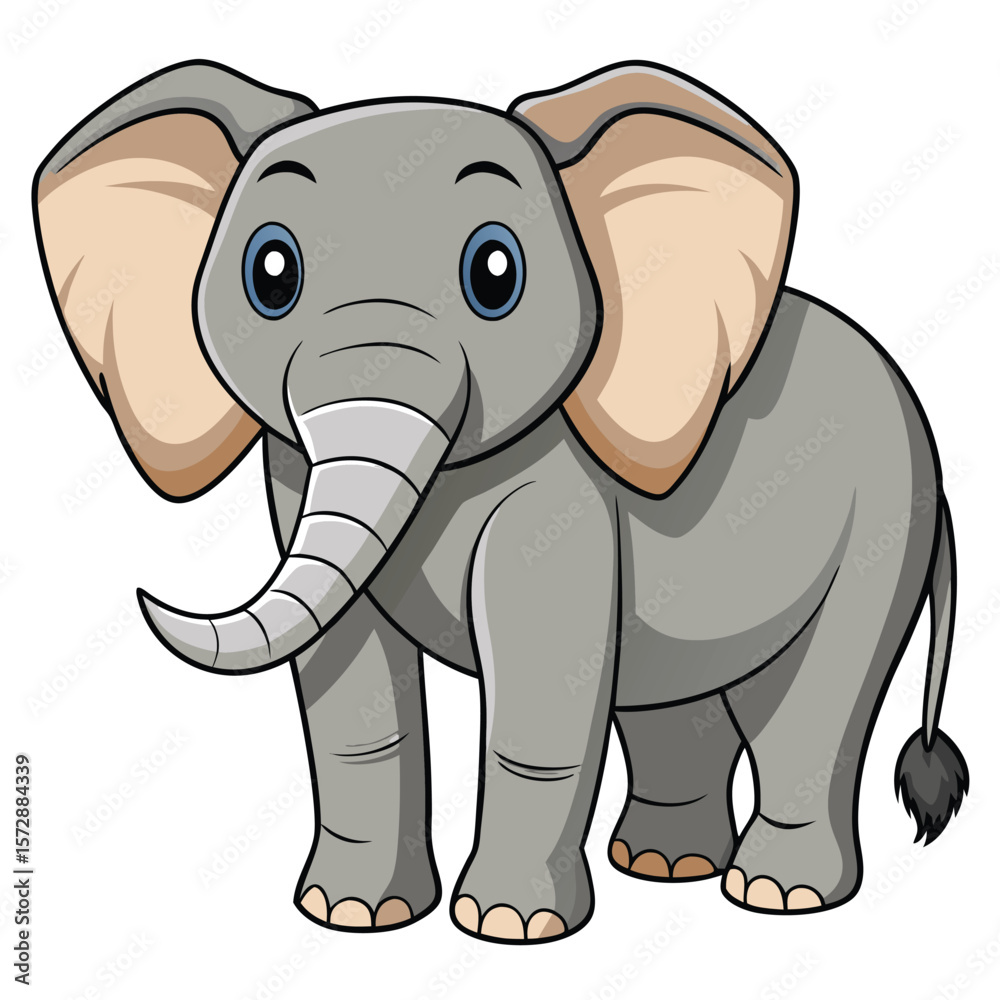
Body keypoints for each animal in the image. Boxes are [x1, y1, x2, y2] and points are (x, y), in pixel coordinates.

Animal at [34, 59, 969, 943]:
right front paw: (350, 915)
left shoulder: (562, 489)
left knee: (808, 704)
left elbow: (542, 682)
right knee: (675, 703)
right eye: (271, 272)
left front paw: (510, 928)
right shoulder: (293, 472)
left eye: (495, 273)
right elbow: (351, 686)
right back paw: (664, 866)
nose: (145, 596)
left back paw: (776, 894)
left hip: (885, 521)